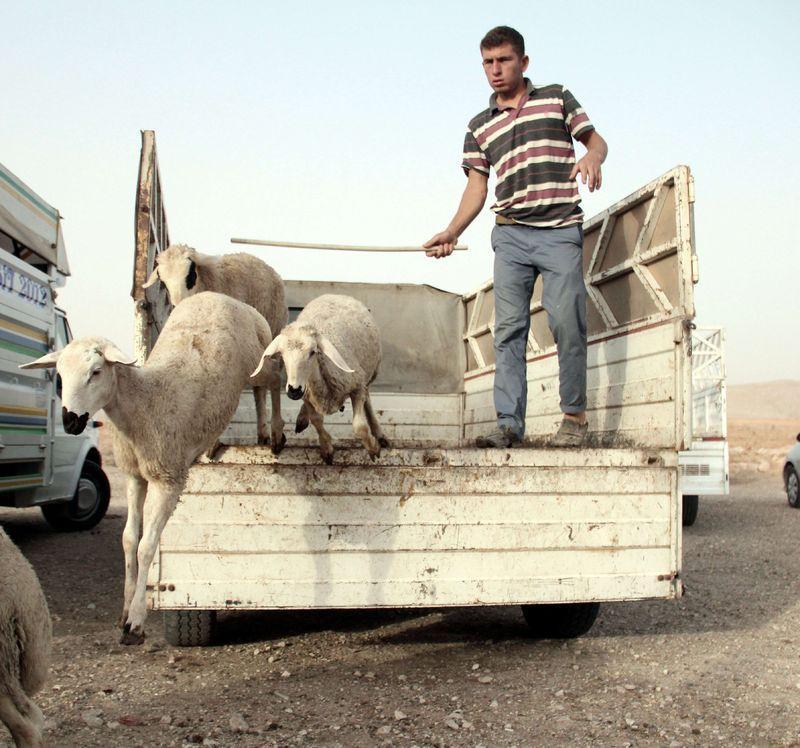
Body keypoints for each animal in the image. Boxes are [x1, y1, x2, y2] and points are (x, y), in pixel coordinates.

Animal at [20, 290, 280, 644]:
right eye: (58, 373)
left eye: (96, 371)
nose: (70, 420)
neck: (146, 401)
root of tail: (221, 295)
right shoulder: (134, 476)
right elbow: (129, 539)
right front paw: (125, 609)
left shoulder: (166, 478)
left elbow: (146, 547)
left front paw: (136, 621)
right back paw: (216, 443)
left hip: (259, 359)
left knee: (270, 385)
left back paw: (272, 431)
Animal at [144, 244, 288, 450]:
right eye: (163, 280)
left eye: (190, 274)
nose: (178, 306)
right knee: (258, 388)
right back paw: (262, 434)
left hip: (272, 333)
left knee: (268, 382)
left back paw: (275, 433)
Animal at [250, 296, 388, 464]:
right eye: (281, 353)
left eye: (313, 352)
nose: (294, 390)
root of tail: (335, 294)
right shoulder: (307, 395)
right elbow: (316, 420)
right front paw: (326, 448)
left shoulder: (357, 386)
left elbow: (359, 426)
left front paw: (373, 448)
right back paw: (302, 419)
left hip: (369, 373)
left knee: (367, 398)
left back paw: (378, 433)